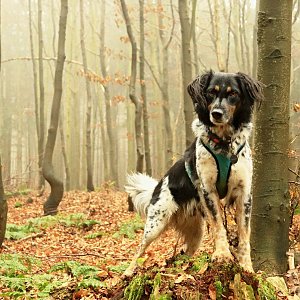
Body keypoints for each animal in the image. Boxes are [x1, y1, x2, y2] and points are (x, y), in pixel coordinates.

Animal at [123, 71, 264, 276]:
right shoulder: (208, 190)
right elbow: (219, 226)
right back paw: (126, 274)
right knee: (139, 250)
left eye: (233, 93)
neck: (224, 143)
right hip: (155, 223)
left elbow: (244, 234)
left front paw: (247, 267)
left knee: (183, 255)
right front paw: (223, 254)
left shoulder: (244, 193)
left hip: (196, 232)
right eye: (211, 93)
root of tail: (158, 185)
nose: (216, 113)